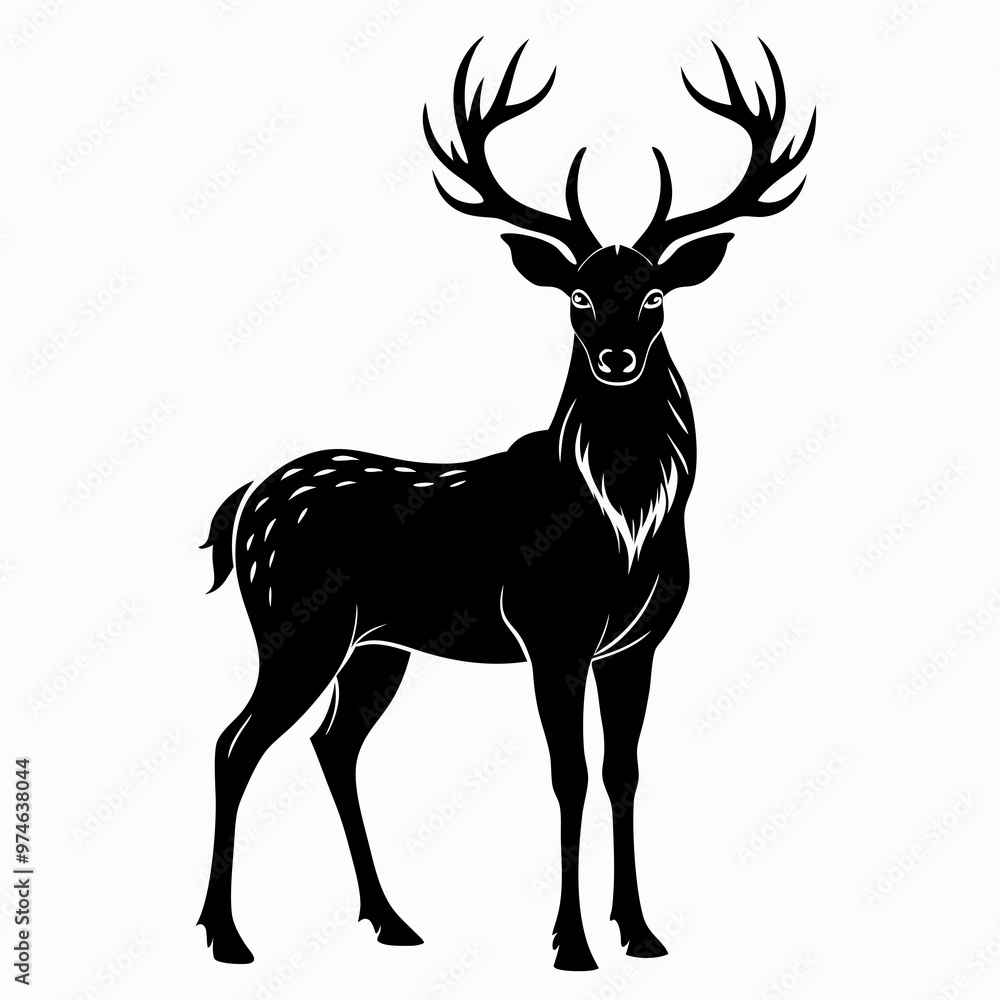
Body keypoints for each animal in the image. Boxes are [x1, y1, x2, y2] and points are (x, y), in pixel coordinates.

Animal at [197, 37, 815, 971]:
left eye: (655, 294)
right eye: (580, 295)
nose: (618, 358)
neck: (627, 524)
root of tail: (241, 510)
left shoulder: (635, 644)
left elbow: (622, 774)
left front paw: (641, 933)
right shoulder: (550, 629)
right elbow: (567, 776)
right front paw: (571, 945)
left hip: (377, 647)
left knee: (332, 743)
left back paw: (392, 920)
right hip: (295, 626)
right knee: (234, 743)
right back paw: (228, 937)